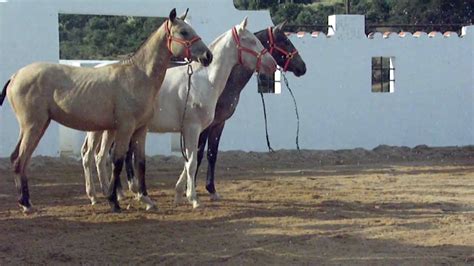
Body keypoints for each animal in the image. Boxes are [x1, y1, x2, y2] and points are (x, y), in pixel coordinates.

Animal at [82, 17, 278, 208]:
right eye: (250, 41)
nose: (273, 64)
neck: (204, 80)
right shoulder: (193, 128)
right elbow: (192, 162)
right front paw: (193, 198)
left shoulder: (194, 130)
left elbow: (191, 159)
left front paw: (179, 194)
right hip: (100, 129)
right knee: (91, 156)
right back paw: (97, 195)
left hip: (108, 129)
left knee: (99, 157)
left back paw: (112, 194)